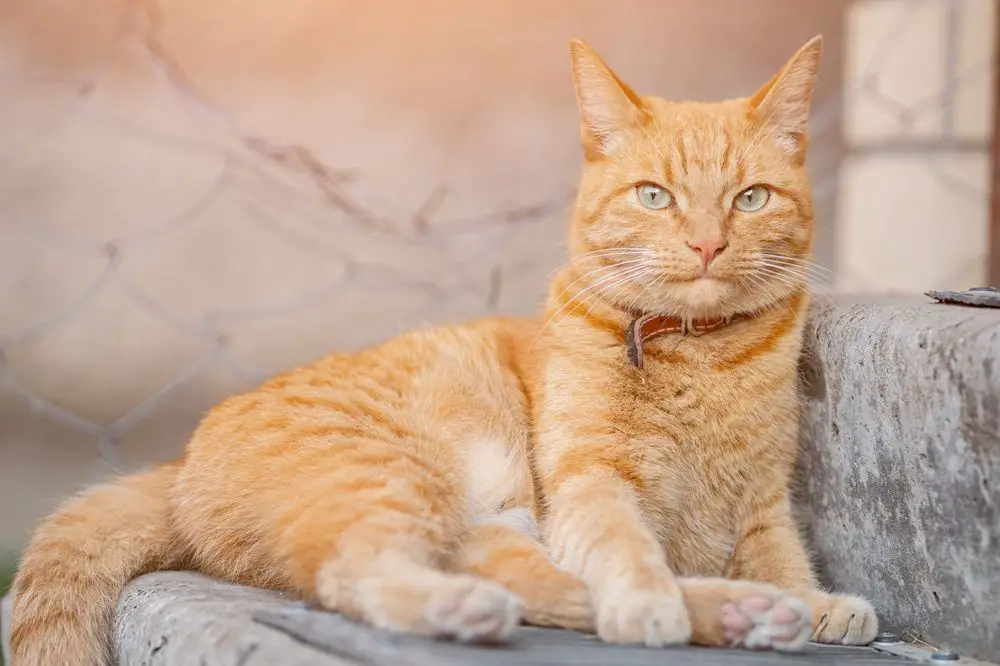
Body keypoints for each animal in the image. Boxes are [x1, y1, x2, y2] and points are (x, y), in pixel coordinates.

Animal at [13, 36, 876, 664]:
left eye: (750, 198)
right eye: (654, 196)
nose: (705, 244)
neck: (702, 359)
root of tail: (180, 463)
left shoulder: (762, 503)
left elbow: (784, 560)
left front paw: (818, 603)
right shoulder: (590, 481)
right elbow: (627, 550)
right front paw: (649, 601)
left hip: (486, 521)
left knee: (533, 583)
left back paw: (753, 613)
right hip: (395, 475)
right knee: (363, 574)